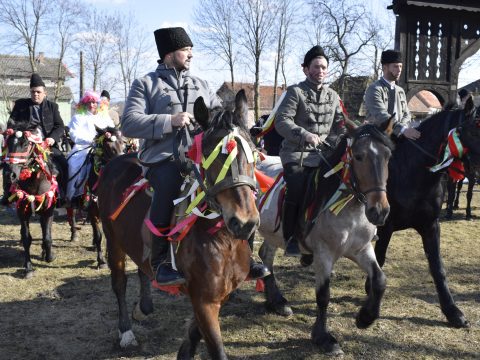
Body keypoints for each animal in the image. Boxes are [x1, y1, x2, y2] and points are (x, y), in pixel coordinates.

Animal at [67, 125, 124, 268]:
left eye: (123, 142)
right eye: (107, 146)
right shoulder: (93, 210)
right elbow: (99, 235)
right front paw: (101, 261)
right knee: (72, 213)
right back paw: (74, 235)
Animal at [98, 89, 260, 358]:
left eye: (254, 154)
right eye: (211, 156)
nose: (244, 223)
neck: (221, 240)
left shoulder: (219, 295)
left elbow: (194, 332)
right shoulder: (205, 300)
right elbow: (215, 347)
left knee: (143, 268)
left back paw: (143, 307)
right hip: (113, 241)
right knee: (119, 283)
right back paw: (126, 331)